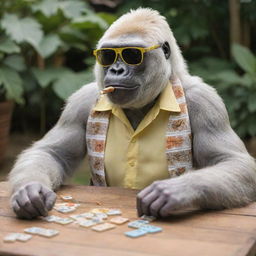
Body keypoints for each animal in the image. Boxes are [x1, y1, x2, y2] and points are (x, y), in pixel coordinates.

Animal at [8, 9, 256, 219]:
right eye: (107, 56)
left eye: (132, 55)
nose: (117, 69)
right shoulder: (80, 102)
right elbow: (51, 153)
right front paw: (31, 191)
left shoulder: (206, 102)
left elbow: (235, 161)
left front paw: (174, 191)